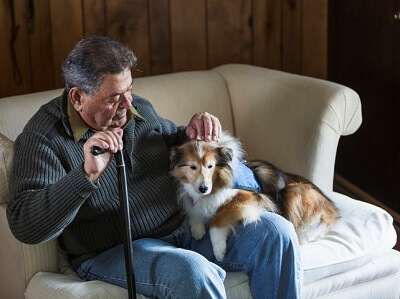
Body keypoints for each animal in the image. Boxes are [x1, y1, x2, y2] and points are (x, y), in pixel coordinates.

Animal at [169, 132, 338, 262]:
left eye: (210, 166)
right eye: (192, 167)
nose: (203, 188)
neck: (216, 185)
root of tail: (333, 210)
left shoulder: (245, 197)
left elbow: (217, 221)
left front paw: (219, 250)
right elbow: (195, 211)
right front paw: (197, 229)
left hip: (294, 190)